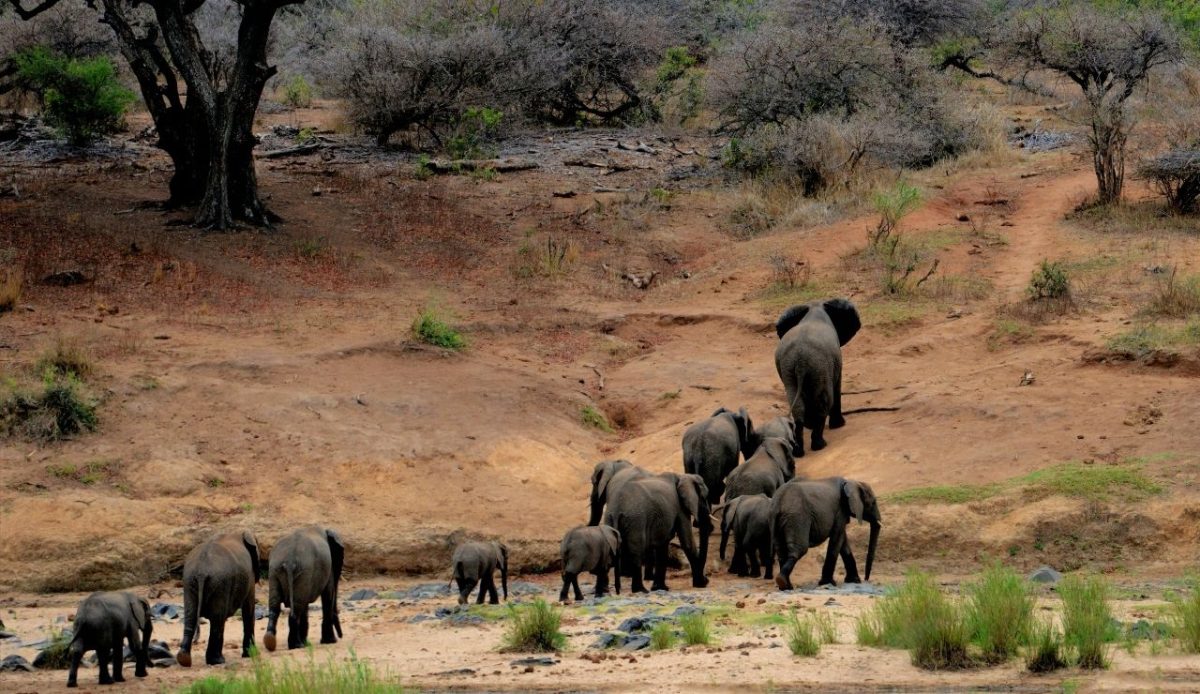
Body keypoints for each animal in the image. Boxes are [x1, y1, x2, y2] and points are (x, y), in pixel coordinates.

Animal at [176, 530, 260, 667]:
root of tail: (201, 572)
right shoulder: (250, 576)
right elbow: (248, 609)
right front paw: (251, 654)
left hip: (189, 581)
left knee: (191, 616)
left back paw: (184, 659)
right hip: (220, 583)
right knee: (218, 619)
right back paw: (217, 661)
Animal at [774, 298, 861, 456]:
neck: (815, 307)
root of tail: (800, 360)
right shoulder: (835, 361)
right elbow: (837, 386)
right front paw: (839, 425)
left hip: (789, 367)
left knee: (797, 404)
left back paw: (798, 451)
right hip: (819, 365)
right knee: (825, 400)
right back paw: (820, 445)